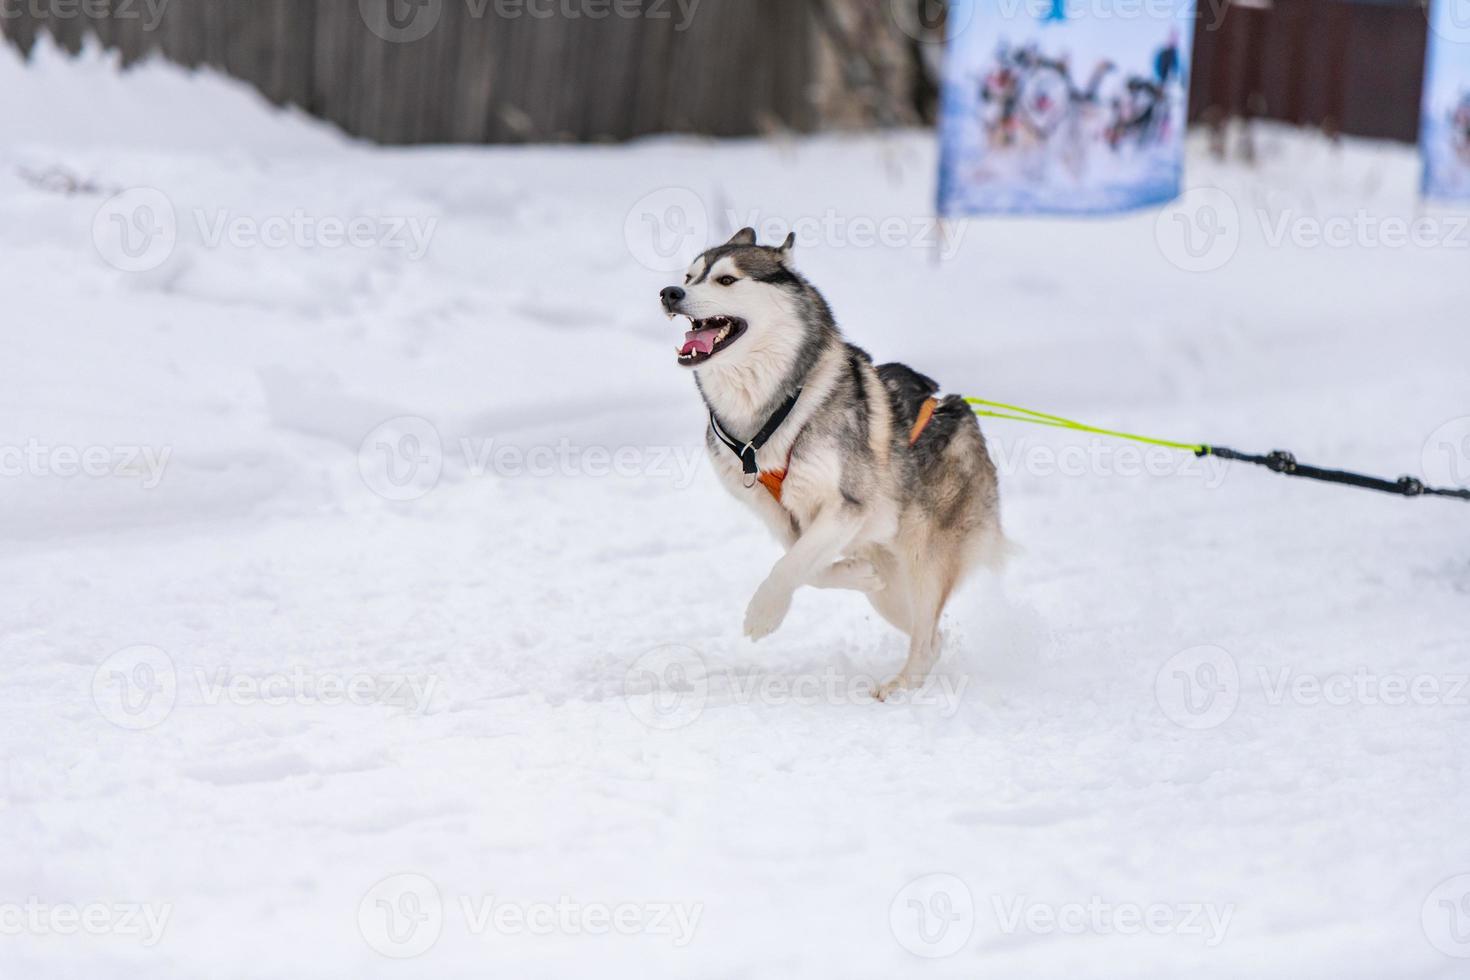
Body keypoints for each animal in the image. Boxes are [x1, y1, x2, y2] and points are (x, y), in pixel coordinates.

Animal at [661, 229, 1005, 696]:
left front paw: (763, 614)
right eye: (688, 276)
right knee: (932, 635)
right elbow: (805, 566)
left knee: (925, 636)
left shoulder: (847, 507)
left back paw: (900, 688)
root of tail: (957, 409)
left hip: (926, 558)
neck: (769, 413)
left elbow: (789, 567)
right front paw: (855, 574)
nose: (669, 292)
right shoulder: (788, 522)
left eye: (727, 280)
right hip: (891, 592)